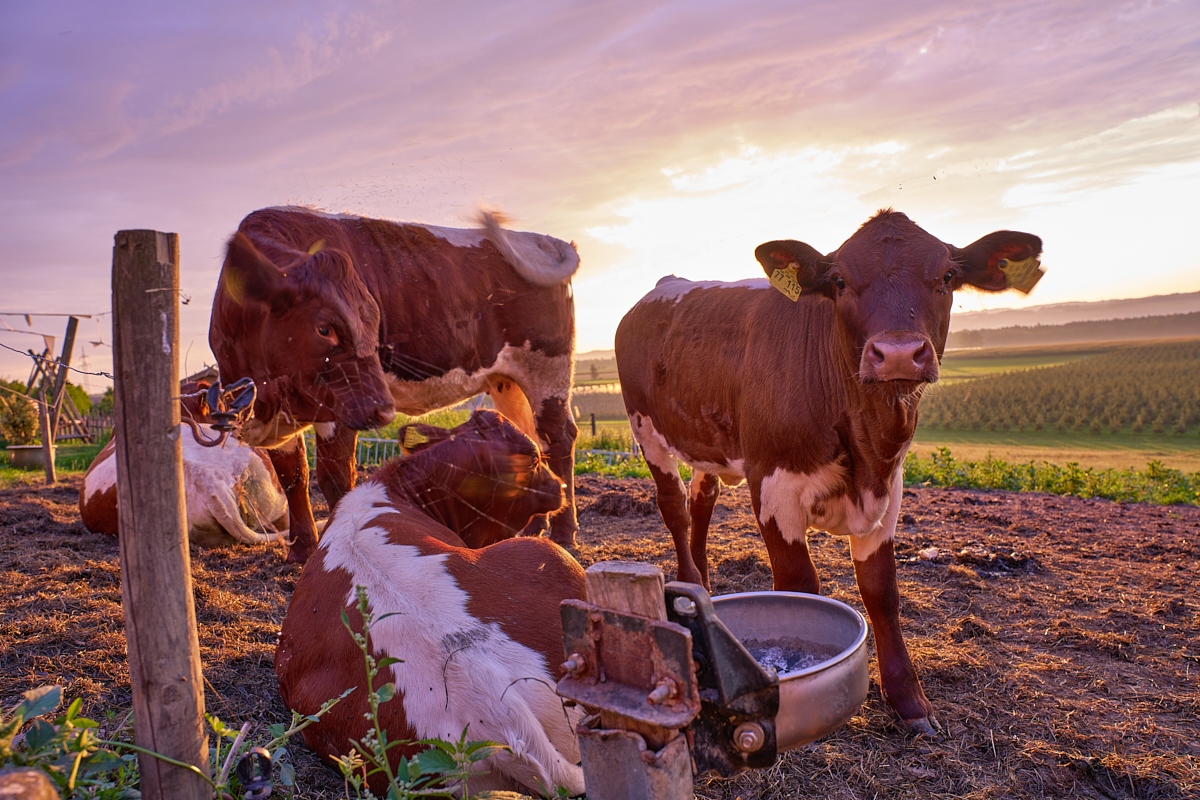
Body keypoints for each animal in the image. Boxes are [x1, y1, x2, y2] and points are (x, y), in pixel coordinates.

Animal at [210, 206, 580, 563]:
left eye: (375, 325)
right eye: (324, 328)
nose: (384, 410)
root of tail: (547, 240)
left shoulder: (339, 408)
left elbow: (334, 478)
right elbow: (294, 477)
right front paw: (300, 550)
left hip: (548, 370)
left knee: (558, 438)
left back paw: (563, 532)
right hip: (508, 382)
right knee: (535, 440)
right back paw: (535, 525)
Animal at [614, 209, 1046, 734]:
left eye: (947, 276)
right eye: (839, 280)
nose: (897, 353)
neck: (865, 437)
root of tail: (666, 285)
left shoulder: (889, 489)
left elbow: (881, 591)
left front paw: (908, 698)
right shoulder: (773, 486)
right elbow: (799, 586)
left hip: (705, 438)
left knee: (702, 501)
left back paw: (702, 586)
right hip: (646, 427)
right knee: (674, 507)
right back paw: (685, 573)